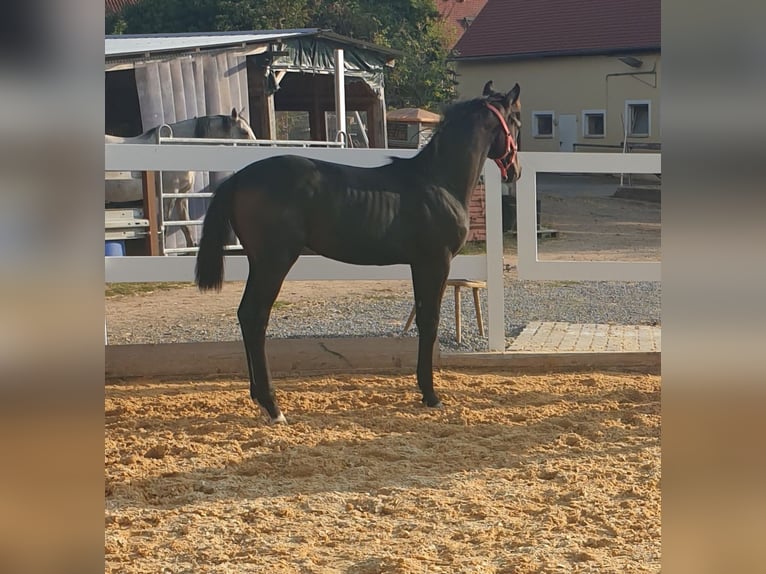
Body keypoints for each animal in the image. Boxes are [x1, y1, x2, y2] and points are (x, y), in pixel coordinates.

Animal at [106, 110, 258, 250]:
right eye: (244, 132)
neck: (175, 147)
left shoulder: (182, 195)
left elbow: (185, 225)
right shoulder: (169, 195)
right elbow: (166, 225)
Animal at [195, 80, 524, 424]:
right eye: (516, 121)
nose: (515, 170)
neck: (438, 181)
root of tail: (238, 178)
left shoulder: (419, 264)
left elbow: (423, 319)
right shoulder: (435, 262)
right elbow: (430, 321)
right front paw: (431, 395)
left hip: (259, 262)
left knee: (245, 315)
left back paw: (259, 398)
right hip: (274, 261)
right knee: (255, 316)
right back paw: (273, 407)